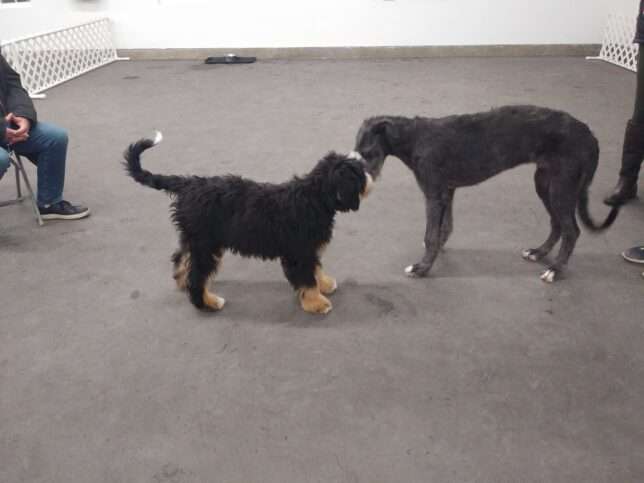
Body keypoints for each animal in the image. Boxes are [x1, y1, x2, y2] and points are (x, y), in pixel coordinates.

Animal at [123, 133, 372, 314]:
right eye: (359, 175)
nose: (371, 178)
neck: (314, 197)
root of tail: (188, 184)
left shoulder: (309, 249)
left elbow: (316, 269)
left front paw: (325, 284)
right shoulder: (299, 252)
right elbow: (307, 279)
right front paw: (317, 303)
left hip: (194, 237)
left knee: (181, 259)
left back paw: (182, 282)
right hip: (206, 245)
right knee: (197, 276)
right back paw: (208, 302)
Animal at [354, 104, 620, 282]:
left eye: (369, 152)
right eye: (356, 151)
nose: (362, 187)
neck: (415, 138)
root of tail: (590, 137)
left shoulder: (433, 194)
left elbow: (431, 235)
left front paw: (422, 268)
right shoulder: (447, 190)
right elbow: (445, 227)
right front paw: (437, 251)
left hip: (562, 187)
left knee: (572, 231)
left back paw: (555, 270)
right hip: (545, 183)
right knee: (557, 224)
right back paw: (538, 252)